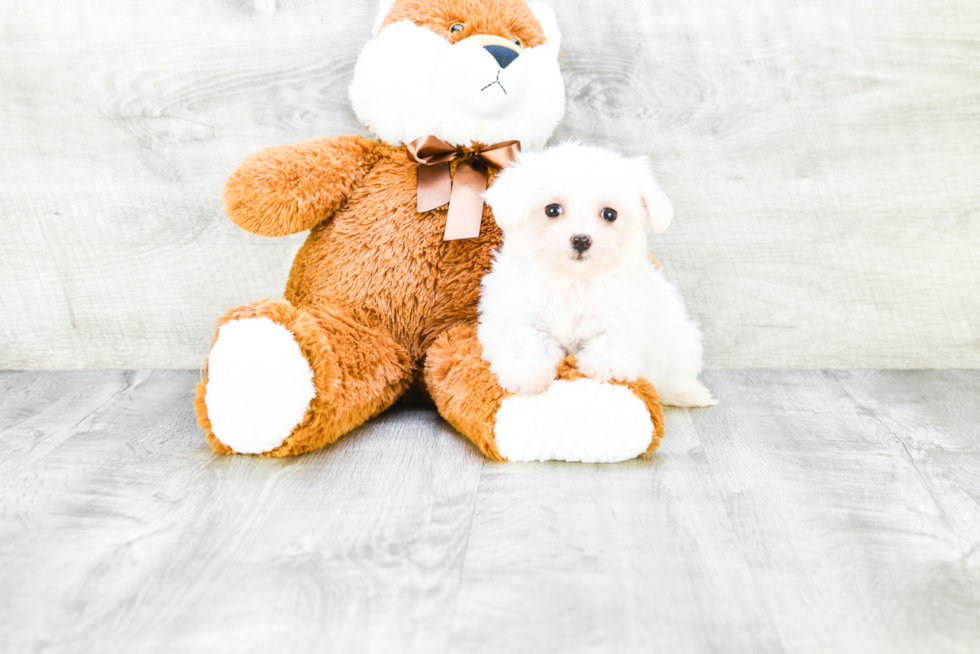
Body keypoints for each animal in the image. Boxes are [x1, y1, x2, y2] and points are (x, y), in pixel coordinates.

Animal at [478, 143, 716, 408]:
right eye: (552, 210)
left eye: (609, 214)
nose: (581, 240)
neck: (573, 279)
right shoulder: (514, 309)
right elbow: (526, 338)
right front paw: (526, 372)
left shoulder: (627, 312)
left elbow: (612, 337)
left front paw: (604, 366)